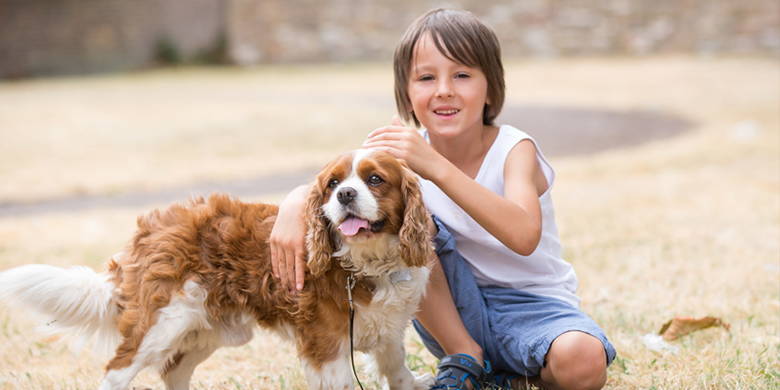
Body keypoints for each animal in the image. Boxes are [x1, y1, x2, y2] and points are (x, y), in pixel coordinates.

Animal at [0, 149, 436, 390]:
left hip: (210, 329)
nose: (344, 194)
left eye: (375, 179)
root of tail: (154, 224)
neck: (367, 261)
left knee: (173, 371)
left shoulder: (388, 331)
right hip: (161, 324)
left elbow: (397, 371)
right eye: (332, 184)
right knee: (117, 371)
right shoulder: (326, 345)